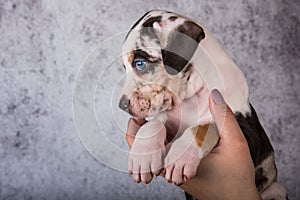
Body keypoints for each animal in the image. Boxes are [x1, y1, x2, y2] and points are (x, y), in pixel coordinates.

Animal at [118, 10, 288, 199]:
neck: (192, 95)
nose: (122, 105)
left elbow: (204, 126)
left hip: (277, 190)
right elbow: (152, 124)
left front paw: (182, 155)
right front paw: (144, 152)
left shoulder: (249, 136)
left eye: (140, 64)